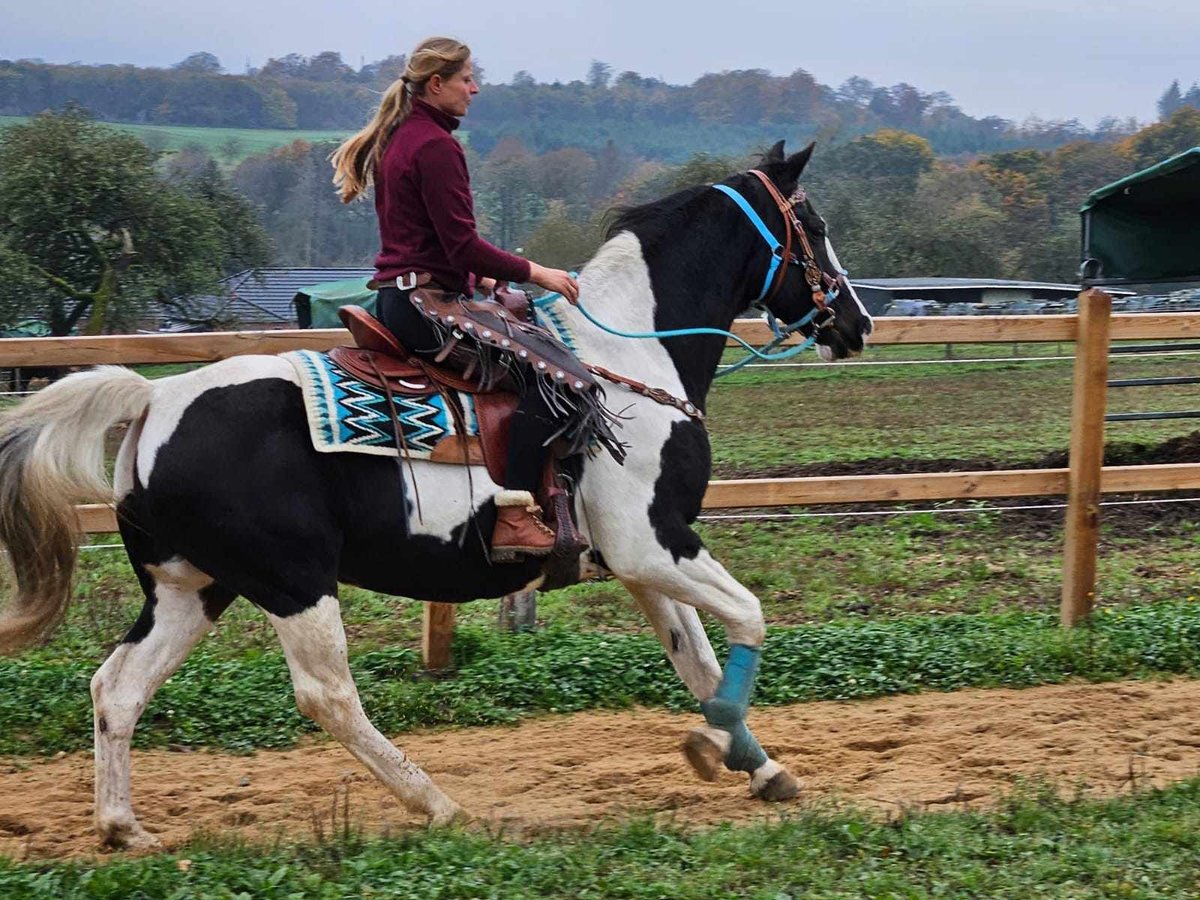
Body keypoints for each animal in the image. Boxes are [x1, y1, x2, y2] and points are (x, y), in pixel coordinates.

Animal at [0, 142, 868, 854]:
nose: (855, 323)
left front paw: (761, 767)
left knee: (118, 687)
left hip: (191, 588)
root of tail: (153, 402)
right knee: (327, 696)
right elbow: (749, 617)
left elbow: (695, 656)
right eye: (814, 223)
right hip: (292, 583)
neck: (628, 357)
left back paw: (122, 826)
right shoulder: (652, 540)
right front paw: (714, 745)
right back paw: (437, 803)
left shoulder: (638, 561)